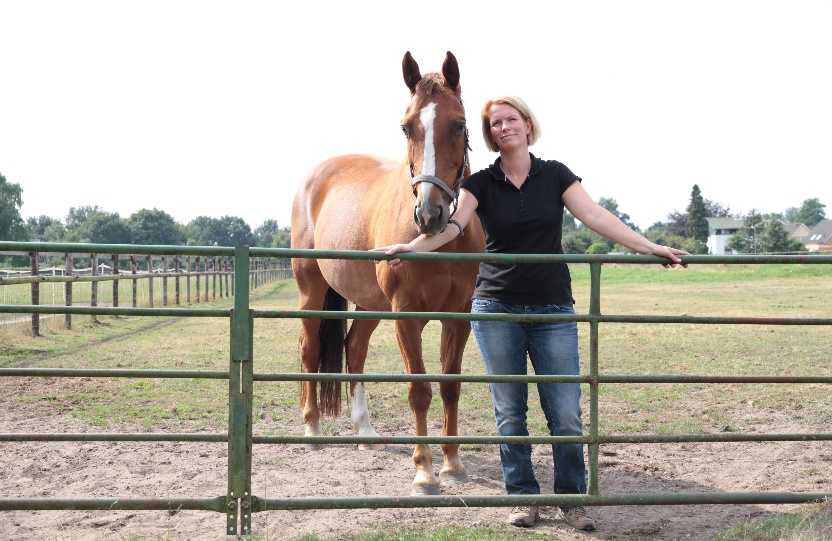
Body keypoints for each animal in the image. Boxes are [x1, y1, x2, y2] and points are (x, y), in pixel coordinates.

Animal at [292, 50, 488, 494]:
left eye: (459, 124)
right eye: (406, 126)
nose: (429, 214)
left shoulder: (458, 315)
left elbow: (450, 387)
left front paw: (453, 463)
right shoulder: (406, 313)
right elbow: (419, 391)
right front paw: (424, 471)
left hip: (370, 304)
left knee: (354, 348)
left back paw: (365, 431)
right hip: (312, 292)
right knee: (310, 349)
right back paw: (311, 430)